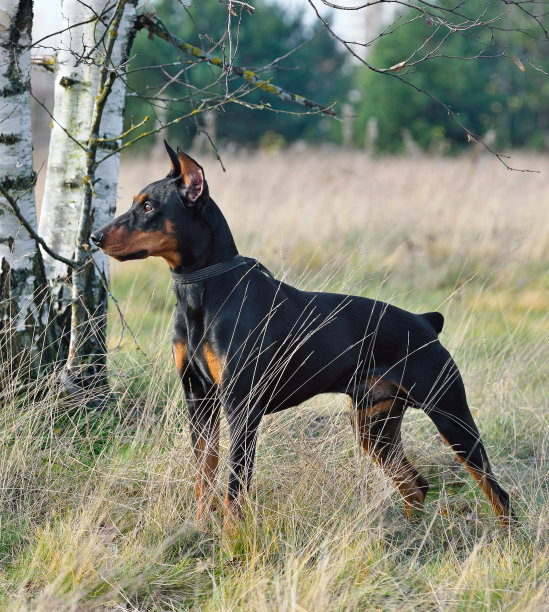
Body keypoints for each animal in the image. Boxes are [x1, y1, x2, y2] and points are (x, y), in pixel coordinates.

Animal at [91, 143, 512, 532]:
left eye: (149, 206)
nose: (94, 236)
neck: (203, 291)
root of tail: (426, 323)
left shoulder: (241, 408)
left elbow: (233, 488)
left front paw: (230, 541)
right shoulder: (199, 401)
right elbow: (204, 478)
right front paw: (197, 528)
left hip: (450, 415)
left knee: (496, 491)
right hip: (374, 425)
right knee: (415, 484)